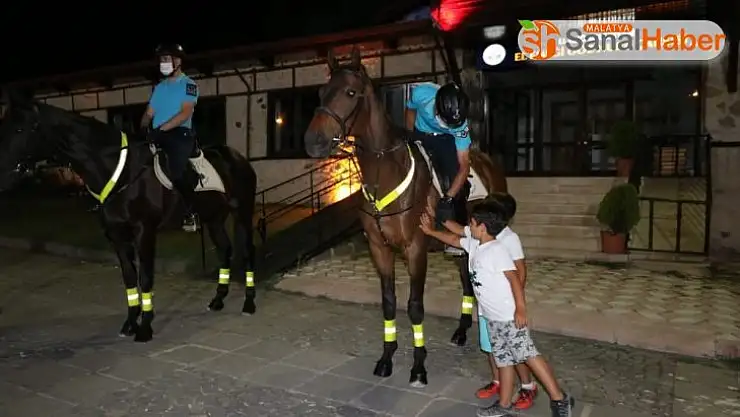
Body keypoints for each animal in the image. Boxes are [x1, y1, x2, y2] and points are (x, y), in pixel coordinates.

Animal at [0, 91, 258, 342]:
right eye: (5, 126)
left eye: (20, 129)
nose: (3, 174)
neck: (121, 170)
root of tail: (237, 157)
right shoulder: (116, 234)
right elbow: (130, 278)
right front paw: (131, 323)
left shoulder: (144, 232)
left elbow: (145, 277)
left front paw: (145, 328)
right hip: (214, 219)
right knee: (224, 249)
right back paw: (218, 300)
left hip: (242, 212)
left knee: (246, 252)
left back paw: (249, 303)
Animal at [304, 48, 507, 387]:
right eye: (321, 92)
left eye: (350, 93)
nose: (313, 141)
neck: (386, 173)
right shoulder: (379, 248)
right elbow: (389, 303)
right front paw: (386, 358)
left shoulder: (415, 249)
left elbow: (414, 307)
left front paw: (418, 366)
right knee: (467, 283)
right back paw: (462, 330)